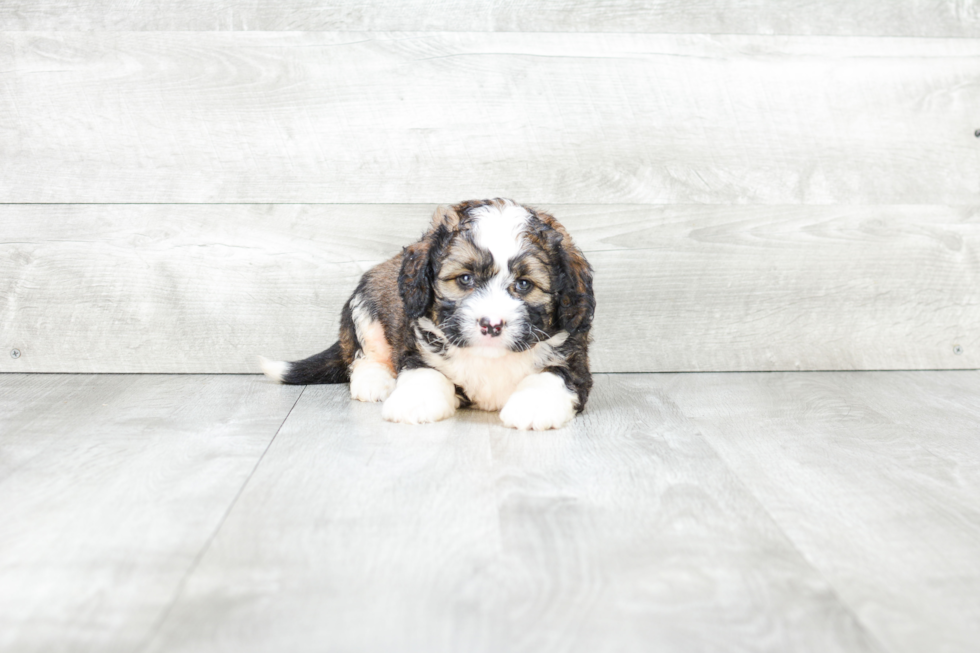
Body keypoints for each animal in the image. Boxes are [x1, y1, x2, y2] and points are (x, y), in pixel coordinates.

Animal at [260, 200, 592, 432]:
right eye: (465, 279)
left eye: (524, 285)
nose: (491, 325)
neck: (489, 358)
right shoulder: (417, 347)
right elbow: (425, 373)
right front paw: (413, 402)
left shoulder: (573, 361)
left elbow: (551, 376)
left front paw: (533, 406)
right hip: (365, 309)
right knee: (363, 356)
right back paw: (374, 381)